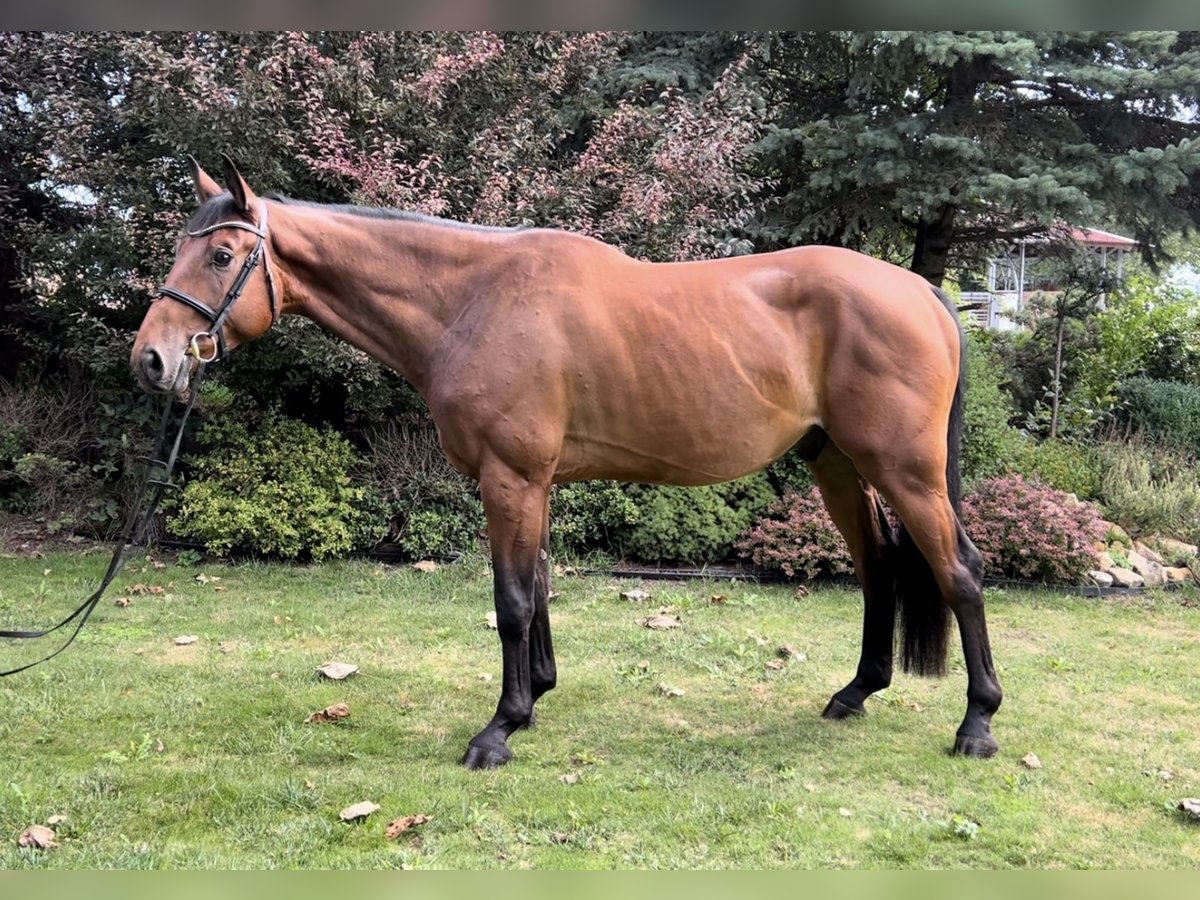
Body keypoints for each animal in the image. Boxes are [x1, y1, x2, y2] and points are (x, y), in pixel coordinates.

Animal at [129, 158, 1003, 772]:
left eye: (223, 255)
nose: (152, 360)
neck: (472, 300)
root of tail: (923, 293)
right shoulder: (535, 482)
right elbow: (539, 588)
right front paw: (537, 699)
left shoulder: (509, 478)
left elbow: (512, 601)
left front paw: (498, 730)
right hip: (839, 465)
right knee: (880, 567)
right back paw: (856, 693)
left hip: (906, 470)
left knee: (959, 571)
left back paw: (978, 723)